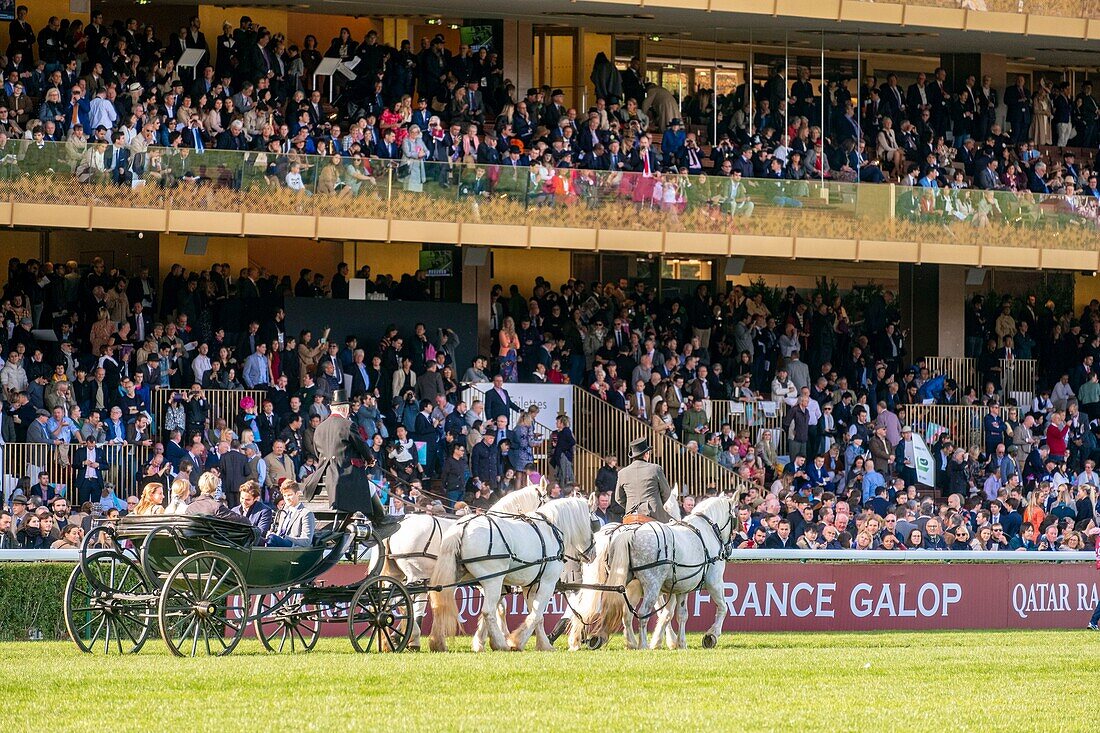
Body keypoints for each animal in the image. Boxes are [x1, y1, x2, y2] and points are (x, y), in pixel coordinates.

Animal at [382, 482, 550, 647]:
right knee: (404, 601)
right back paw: (413, 636)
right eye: (547, 499)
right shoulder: (492, 577)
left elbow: (499, 606)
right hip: (417, 574)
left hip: (400, 573)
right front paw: (500, 637)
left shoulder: (489, 580)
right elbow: (500, 607)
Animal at [429, 497, 598, 651]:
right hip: (493, 580)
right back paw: (500, 644)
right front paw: (517, 642)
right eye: (595, 524)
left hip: (455, 576)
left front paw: (543, 644)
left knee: (440, 604)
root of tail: (463, 526)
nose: (593, 554)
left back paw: (437, 643)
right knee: (488, 611)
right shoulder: (547, 584)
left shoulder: (531, 585)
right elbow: (536, 615)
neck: (551, 531)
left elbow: (537, 616)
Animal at [572, 493, 734, 647]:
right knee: (641, 613)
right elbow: (722, 607)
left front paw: (677, 642)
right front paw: (710, 635)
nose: (728, 548)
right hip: (650, 585)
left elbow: (679, 614)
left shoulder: (680, 588)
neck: (705, 531)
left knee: (607, 610)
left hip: (617, 585)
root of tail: (625, 533)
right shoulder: (714, 582)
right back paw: (641, 644)